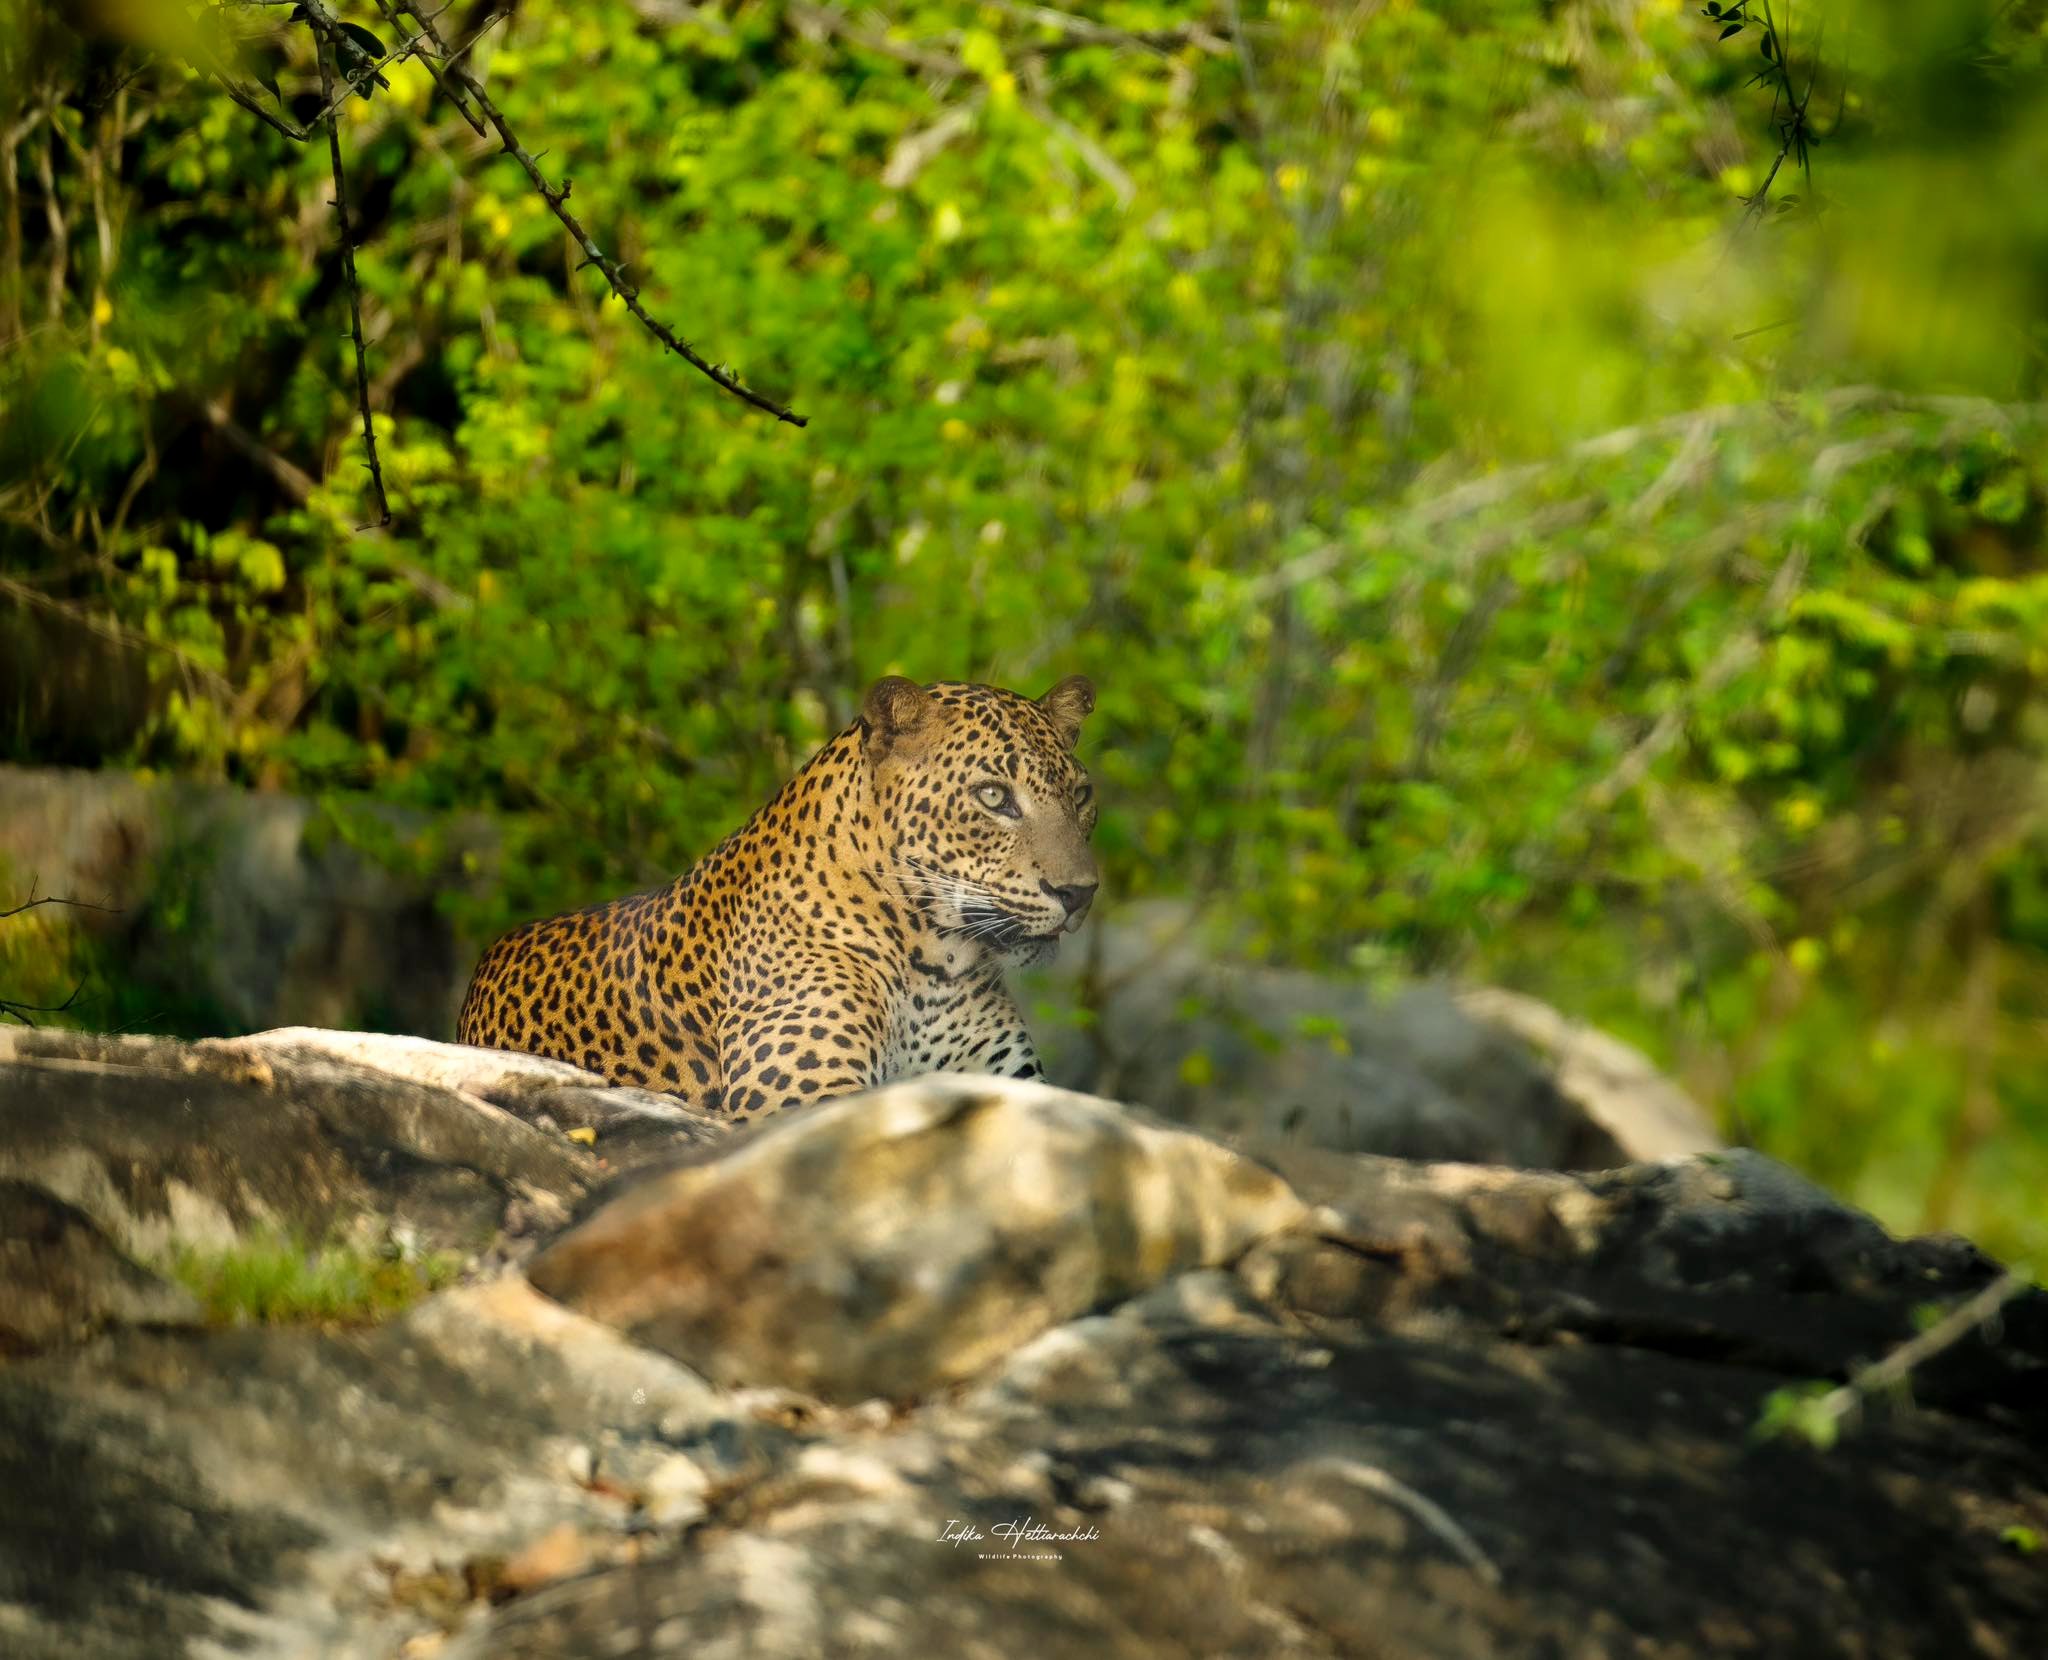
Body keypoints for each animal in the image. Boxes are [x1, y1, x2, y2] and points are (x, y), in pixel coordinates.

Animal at [456, 674, 1099, 1121]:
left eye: (1081, 795)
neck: (934, 964)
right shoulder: (800, 1098)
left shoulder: (1015, 1084)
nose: (1080, 893)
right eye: (993, 796)